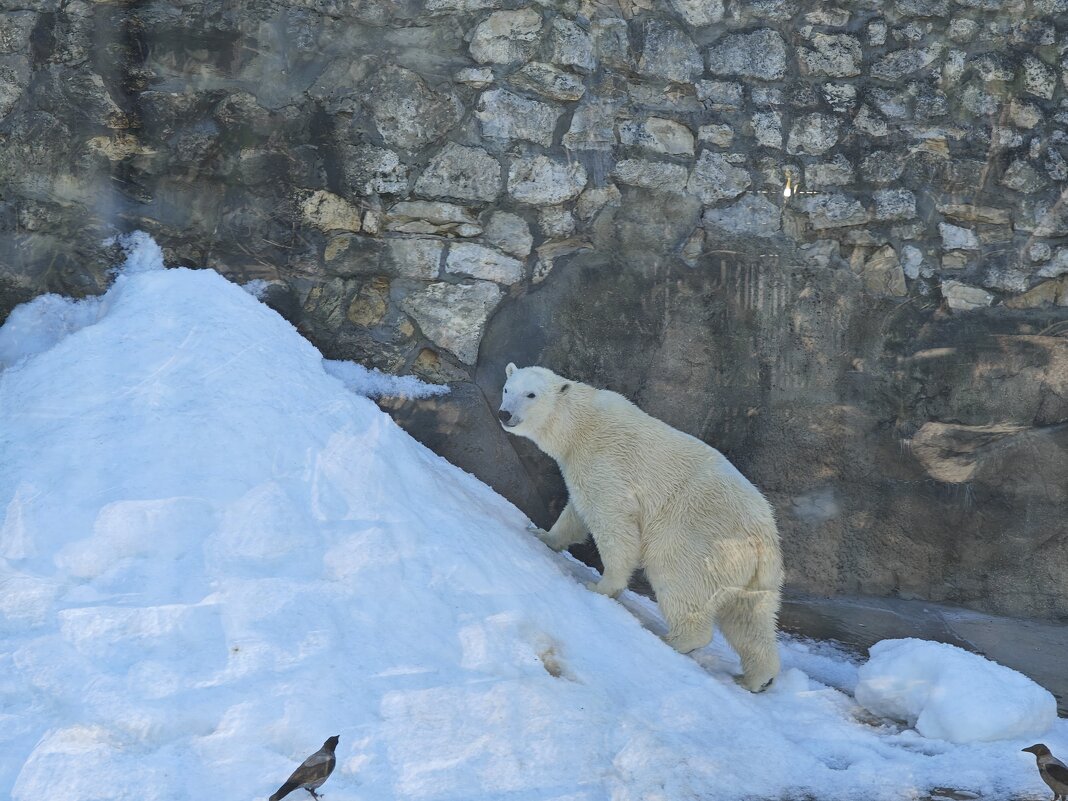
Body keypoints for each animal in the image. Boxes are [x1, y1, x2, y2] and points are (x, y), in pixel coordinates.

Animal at [495, 363, 781, 692]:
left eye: (531, 394)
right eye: (507, 388)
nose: (504, 413)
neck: (581, 426)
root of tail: (763, 541)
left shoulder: (606, 465)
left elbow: (613, 523)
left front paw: (600, 586)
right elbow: (576, 512)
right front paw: (542, 534)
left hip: (701, 540)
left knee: (680, 582)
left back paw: (670, 638)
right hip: (755, 575)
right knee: (750, 617)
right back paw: (756, 679)